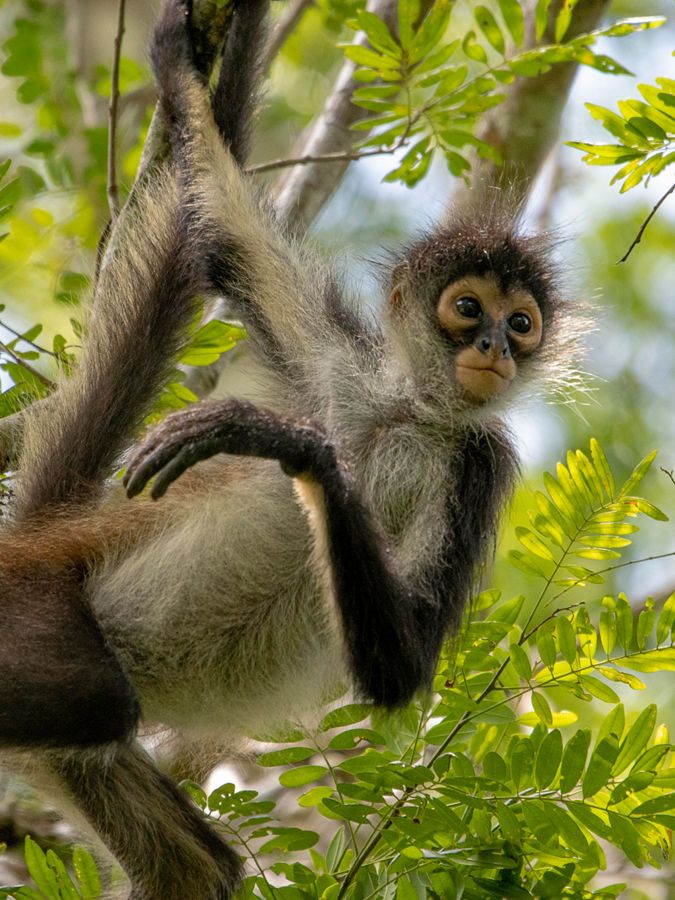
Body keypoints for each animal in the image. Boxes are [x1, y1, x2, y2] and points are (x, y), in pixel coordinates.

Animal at [0, 1, 583, 898]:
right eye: (467, 308)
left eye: (522, 323)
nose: (494, 345)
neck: (408, 415)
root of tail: (41, 544)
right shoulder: (341, 366)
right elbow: (226, 234)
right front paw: (179, 65)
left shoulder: (477, 461)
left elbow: (398, 667)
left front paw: (286, 445)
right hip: (37, 607)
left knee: (159, 806)